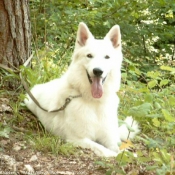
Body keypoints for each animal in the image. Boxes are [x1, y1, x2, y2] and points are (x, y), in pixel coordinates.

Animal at [25, 22, 139, 157]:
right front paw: (115, 155)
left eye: (107, 57)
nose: (98, 71)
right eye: (89, 55)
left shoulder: (110, 138)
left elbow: (119, 148)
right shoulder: (78, 139)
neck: (94, 102)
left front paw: (128, 154)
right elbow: (103, 149)